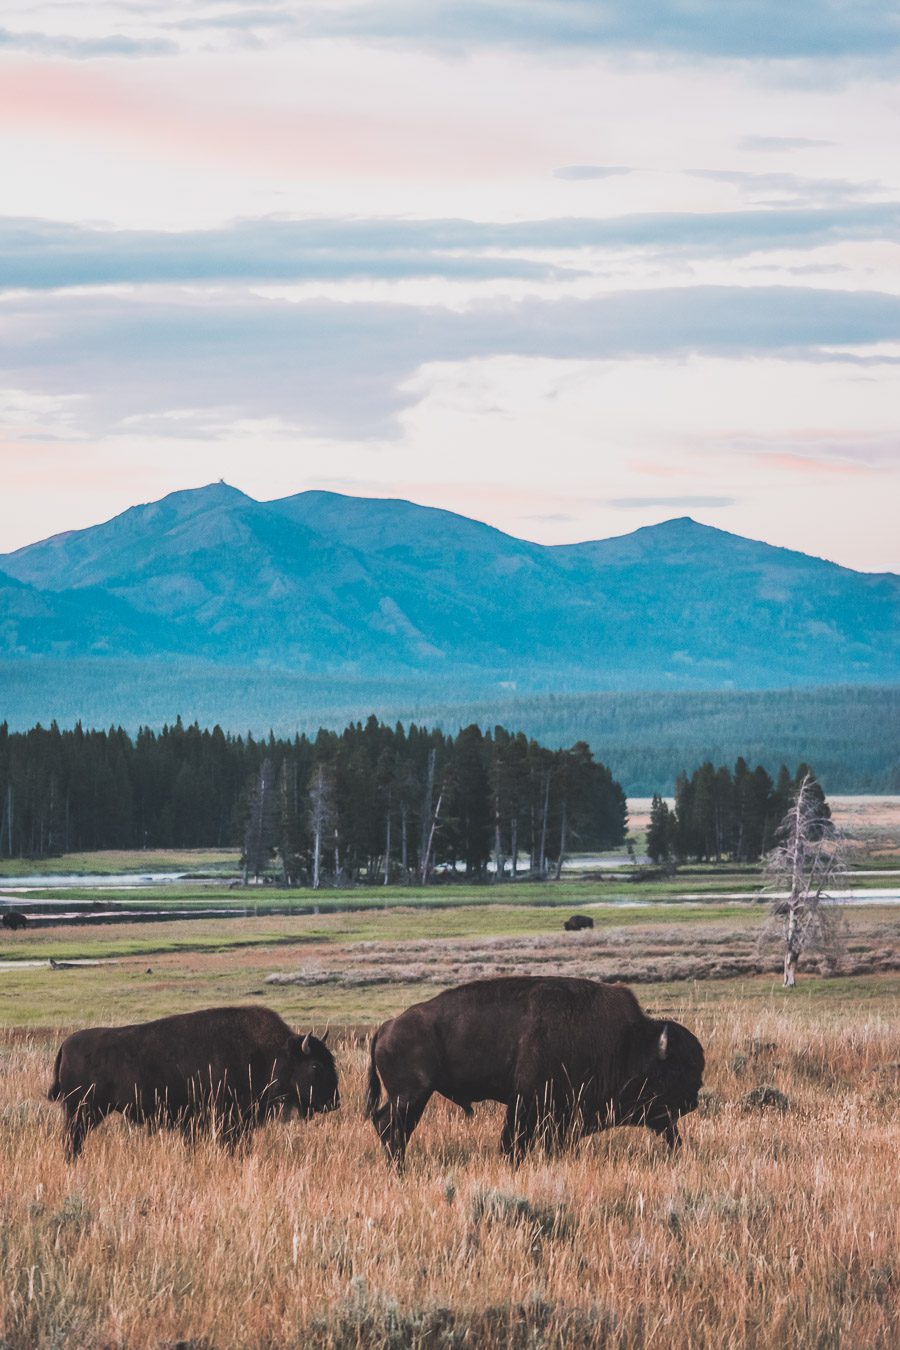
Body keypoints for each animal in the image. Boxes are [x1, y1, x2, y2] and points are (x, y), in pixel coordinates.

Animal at [47, 1004, 340, 1161]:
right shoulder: (228, 1119)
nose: (334, 1102)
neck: (272, 1053)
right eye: (316, 1066)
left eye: (332, 1061)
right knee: (73, 1138)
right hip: (82, 1111)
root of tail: (66, 1044)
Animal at [367, 977, 701, 1166]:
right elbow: (514, 1140)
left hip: (409, 1098)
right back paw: (399, 1168)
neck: (628, 1042)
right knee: (391, 1126)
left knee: (391, 1126)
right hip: (411, 1095)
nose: (693, 1098)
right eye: (673, 1070)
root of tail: (386, 1027)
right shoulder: (528, 1102)